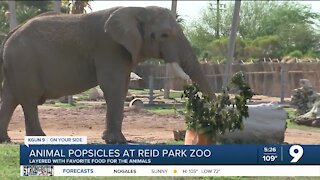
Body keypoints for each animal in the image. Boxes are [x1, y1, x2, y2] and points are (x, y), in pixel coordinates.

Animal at [0, 6, 215, 143]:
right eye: (164, 35)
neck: (138, 9)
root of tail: (10, 33)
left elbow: (122, 85)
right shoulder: (109, 47)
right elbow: (114, 86)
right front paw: (116, 142)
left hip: (16, 65)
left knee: (10, 98)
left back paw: (6, 140)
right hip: (24, 63)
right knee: (28, 99)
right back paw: (39, 138)